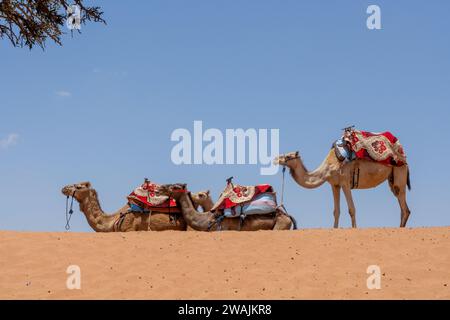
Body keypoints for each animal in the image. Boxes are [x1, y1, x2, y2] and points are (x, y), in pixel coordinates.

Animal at [272, 150, 410, 228]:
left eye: (288, 156)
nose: (275, 159)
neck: (328, 168)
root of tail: (405, 161)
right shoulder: (335, 185)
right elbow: (336, 211)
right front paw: (334, 228)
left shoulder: (345, 182)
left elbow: (351, 209)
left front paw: (354, 228)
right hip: (392, 180)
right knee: (403, 206)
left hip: (400, 175)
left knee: (404, 207)